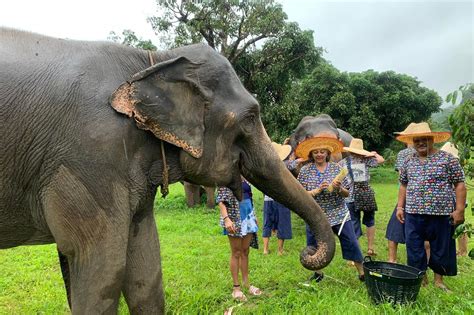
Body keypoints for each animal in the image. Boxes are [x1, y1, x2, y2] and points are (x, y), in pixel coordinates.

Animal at [0, 29, 336, 314]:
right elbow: (104, 268)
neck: (152, 60)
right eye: (251, 118)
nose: (307, 253)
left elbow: (146, 266)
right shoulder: (91, 156)